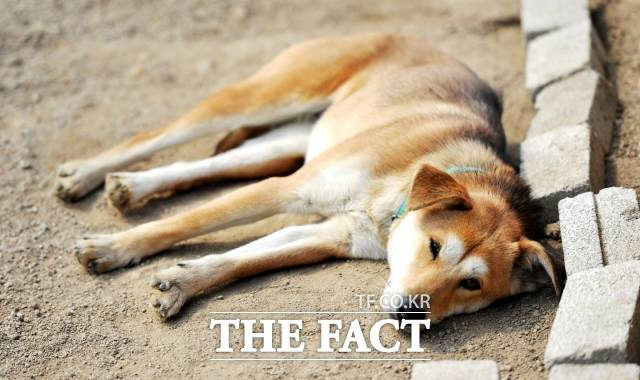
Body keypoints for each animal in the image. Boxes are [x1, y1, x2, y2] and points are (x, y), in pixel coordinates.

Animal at [57, 34, 564, 322]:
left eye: (471, 284)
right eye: (435, 247)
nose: (408, 315)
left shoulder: (329, 235)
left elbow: (244, 260)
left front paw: (184, 282)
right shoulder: (287, 189)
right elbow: (183, 224)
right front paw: (111, 249)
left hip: (285, 143)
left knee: (204, 165)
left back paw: (128, 186)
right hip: (264, 98)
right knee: (152, 136)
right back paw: (83, 174)